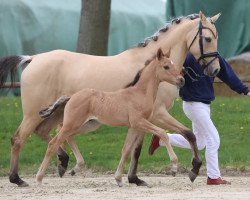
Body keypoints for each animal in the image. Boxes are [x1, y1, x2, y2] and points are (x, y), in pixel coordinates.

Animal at [0, 11, 220, 187]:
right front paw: (193, 170)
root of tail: (33, 58)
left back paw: (64, 163)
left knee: (47, 133)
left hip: (63, 117)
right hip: (34, 115)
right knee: (19, 139)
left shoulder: (143, 119)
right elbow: (186, 134)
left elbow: (135, 148)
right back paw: (18, 179)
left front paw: (133, 178)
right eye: (208, 38)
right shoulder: (157, 114)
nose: (216, 70)